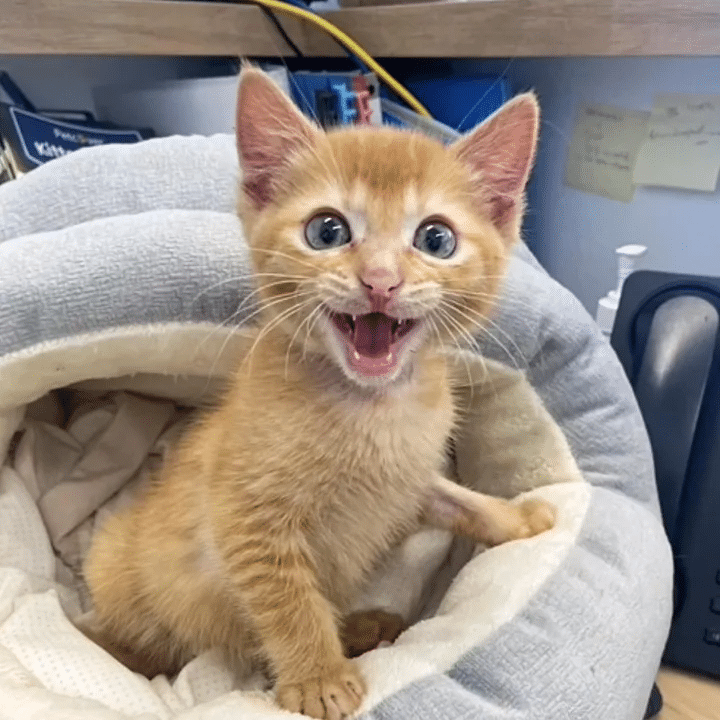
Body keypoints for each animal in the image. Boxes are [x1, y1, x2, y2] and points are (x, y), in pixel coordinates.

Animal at [86, 66, 556, 716]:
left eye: (436, 240)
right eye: (327, 230)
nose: (380, 281)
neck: (371, 406)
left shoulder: (411, 477)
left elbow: (457, 499)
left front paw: (518, 518)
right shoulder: (247, 514)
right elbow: (290, 602)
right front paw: (318, 678)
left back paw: (360, 627)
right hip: (113, 565)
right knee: (139, 645)